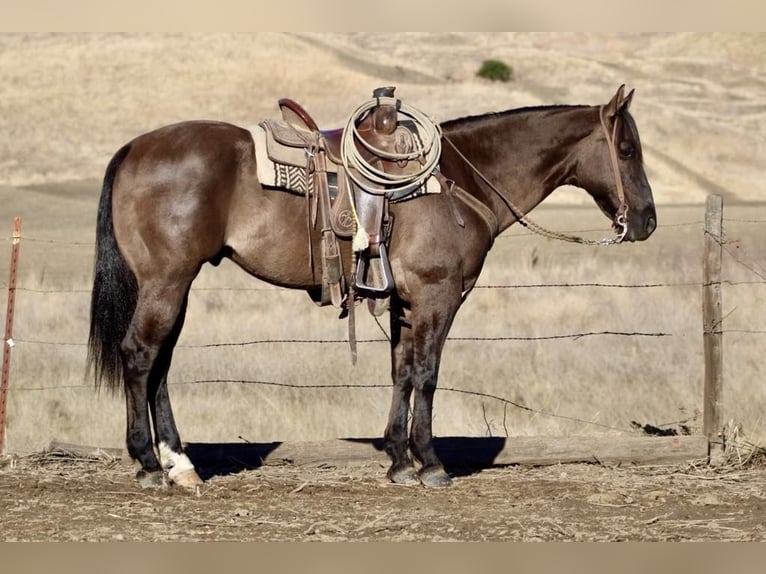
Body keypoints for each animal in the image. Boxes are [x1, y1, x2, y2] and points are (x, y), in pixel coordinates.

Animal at [87, 85, 656, 490]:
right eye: (627, 149)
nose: (647, 221)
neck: (458, 180)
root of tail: (135, 148)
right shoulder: (437, 296)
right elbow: (426, 374)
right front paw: (430, 463)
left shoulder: (404, 302)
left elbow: (401, 373)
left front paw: (399, 461)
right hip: (165, 282)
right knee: (140, 355)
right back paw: (150, 465)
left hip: (177, 284)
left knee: (161, 364)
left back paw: (180, 464)